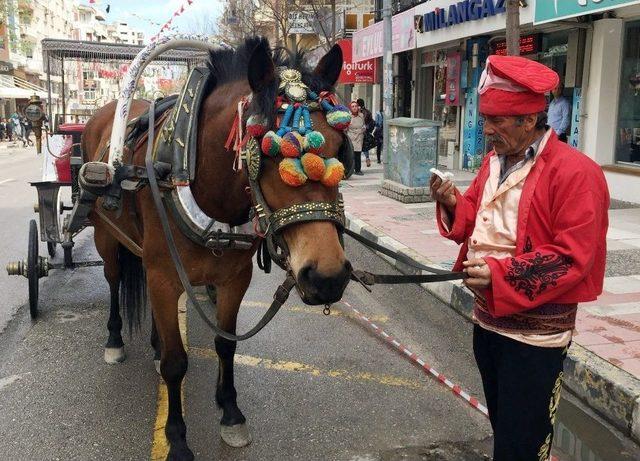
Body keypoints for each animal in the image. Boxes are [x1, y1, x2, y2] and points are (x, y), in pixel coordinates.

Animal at [80, 37, 356, 458]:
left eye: (341, 147)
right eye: (267, 150)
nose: (327, 277)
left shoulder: (233, 279)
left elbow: (226, 344)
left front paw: (231, 414)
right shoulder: (163, 278)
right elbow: (176, 363)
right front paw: (178, 439)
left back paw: (156, 343)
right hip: (106, 235)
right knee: (113, 282)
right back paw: (115, 340)